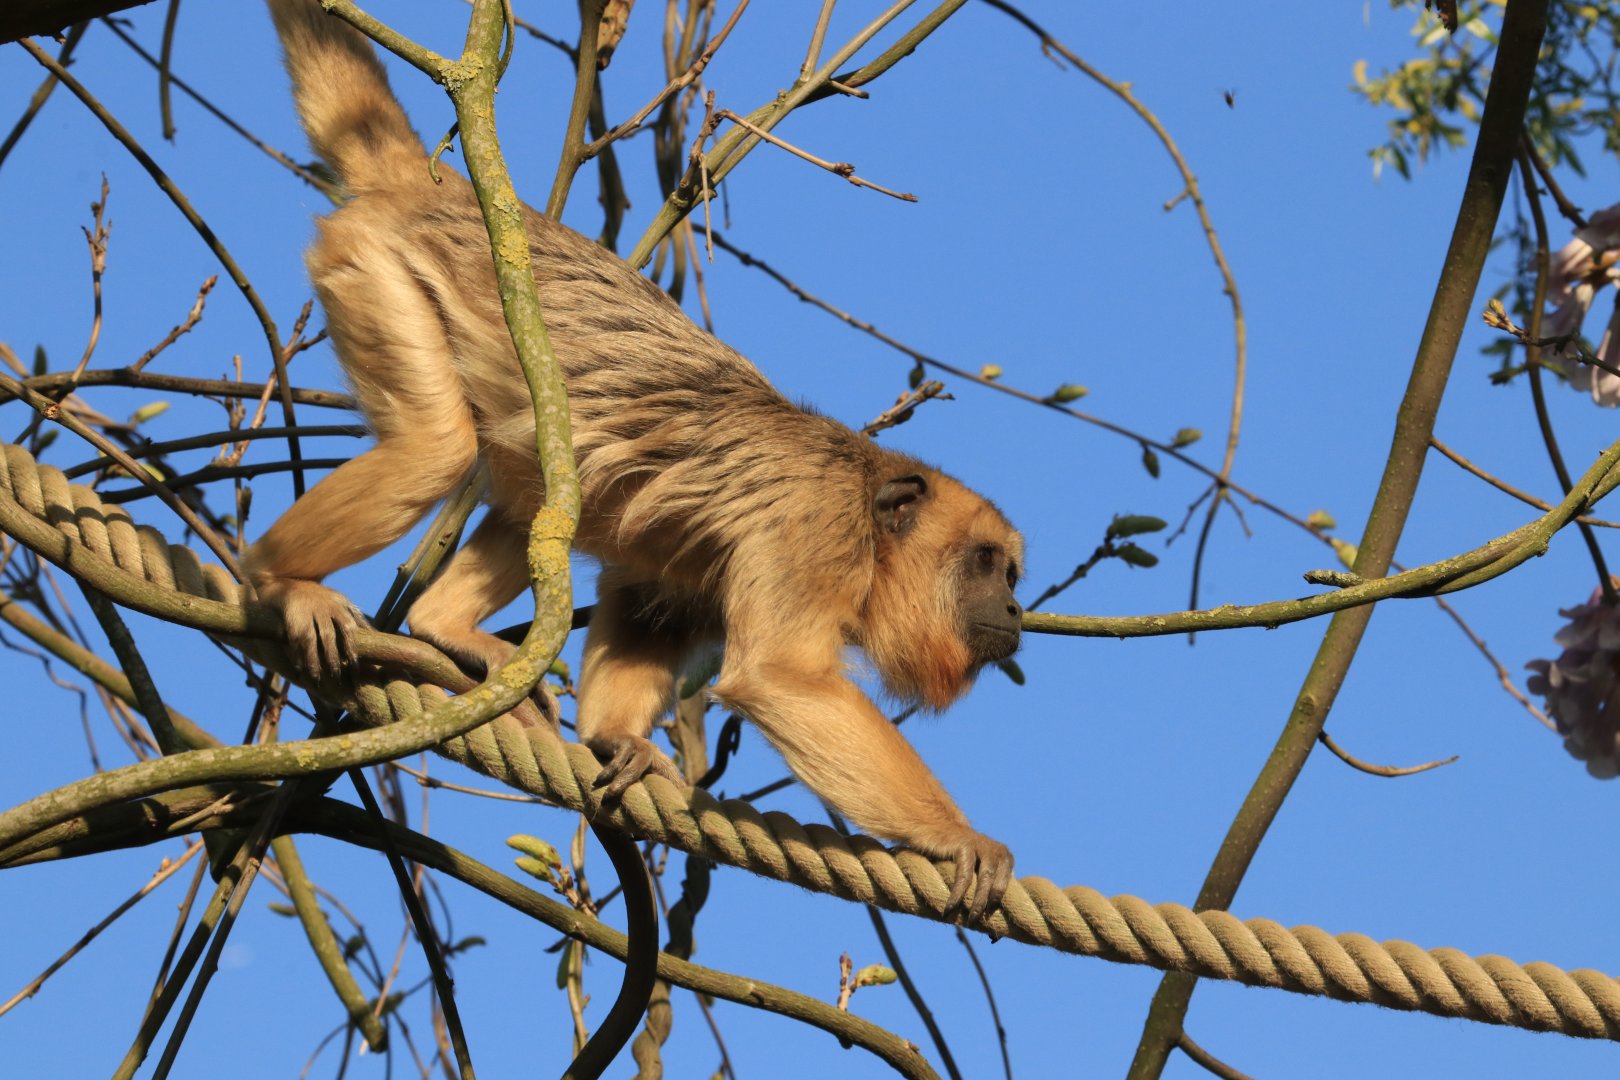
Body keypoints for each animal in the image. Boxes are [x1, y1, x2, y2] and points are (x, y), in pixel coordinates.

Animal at [252, 0, 1025, 918]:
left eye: (1010, 575)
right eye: (986, 563)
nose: (1016, 611)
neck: (867, 499)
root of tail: (441, 190)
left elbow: (652, 608)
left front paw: (621, 740)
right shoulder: (816, 524)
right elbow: (780, 678)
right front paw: (957, 837)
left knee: (543, 492)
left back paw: (448, 627)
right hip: (382, 271)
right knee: (437, 448)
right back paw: (278, 578)